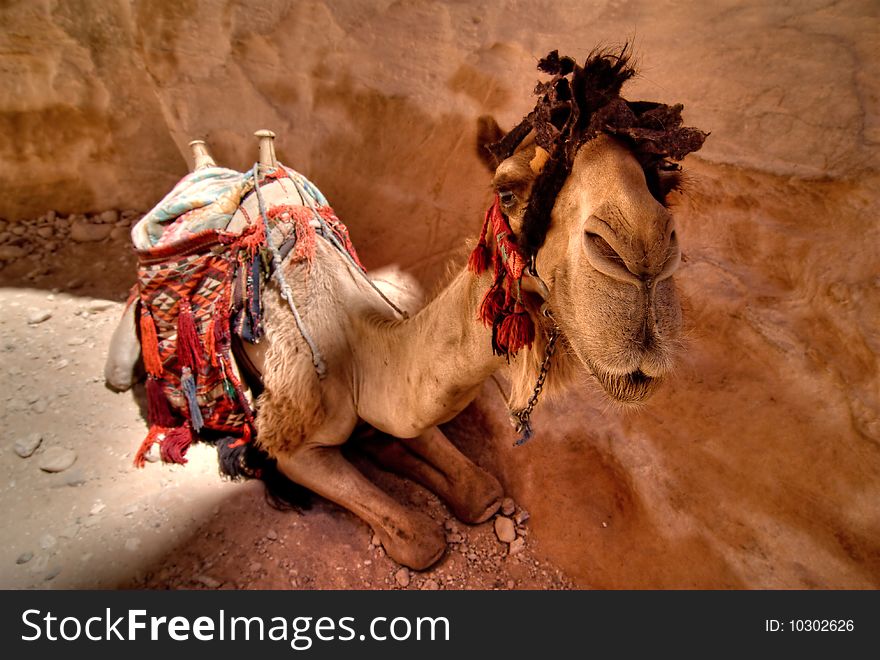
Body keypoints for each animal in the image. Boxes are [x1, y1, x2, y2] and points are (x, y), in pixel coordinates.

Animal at [105, 49, 708, 568]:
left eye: (664, 180)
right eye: (507, 190)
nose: (643, 254)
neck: (359, 350)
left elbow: (482, 488)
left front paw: (397, 454)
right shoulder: (292, 443)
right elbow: (420, 539)